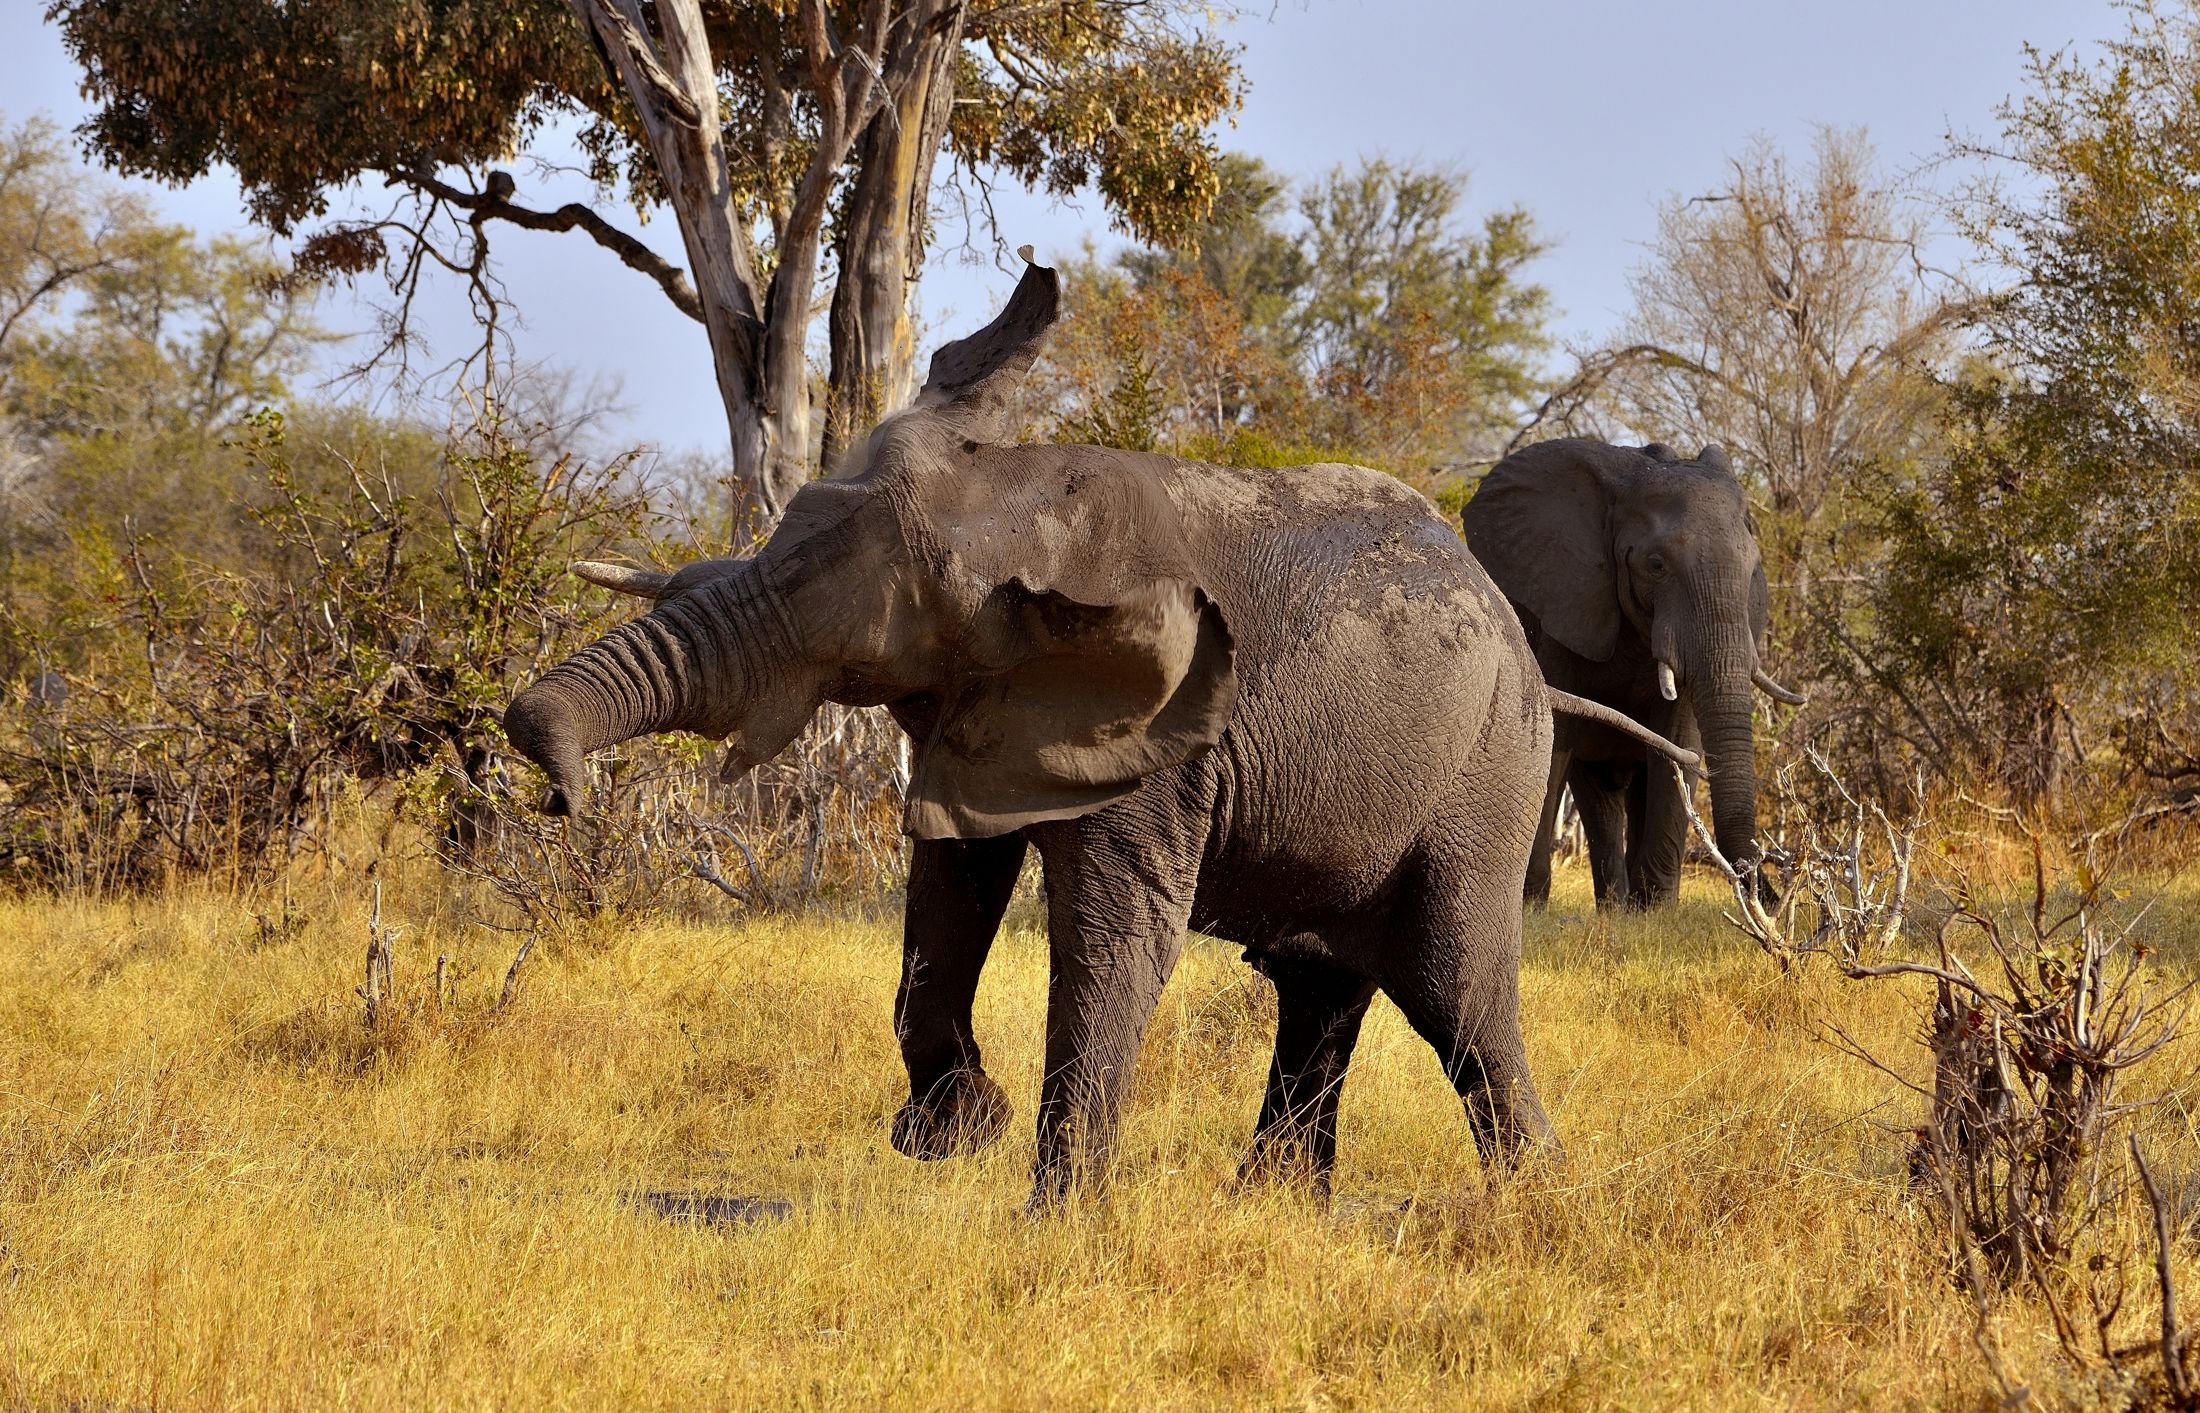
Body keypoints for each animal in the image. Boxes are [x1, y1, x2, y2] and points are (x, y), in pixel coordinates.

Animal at [502, 258, 1697, 1205]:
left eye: (860, 616)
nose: (560, 792)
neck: (1021, 499)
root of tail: (1516, 646)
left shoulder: (1167, 736)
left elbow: (1113, 937)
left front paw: (1054, 1223)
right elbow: (945, 898)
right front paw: (954, 1135)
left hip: (1485, 772)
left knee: (1455, 989)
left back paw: (1531, 1200)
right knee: (1321, 983)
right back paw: (1271, 1208)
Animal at [1459, 437, 1804, 911]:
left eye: (1754, 569)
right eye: (1656, 565)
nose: (1766, 890)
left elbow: (1677, 737)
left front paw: (1655, 910)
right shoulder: (1562, 604)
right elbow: (1557, 731)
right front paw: (1529, 905)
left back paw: (1625, 907)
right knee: (1598, 792)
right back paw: (1611, 906)